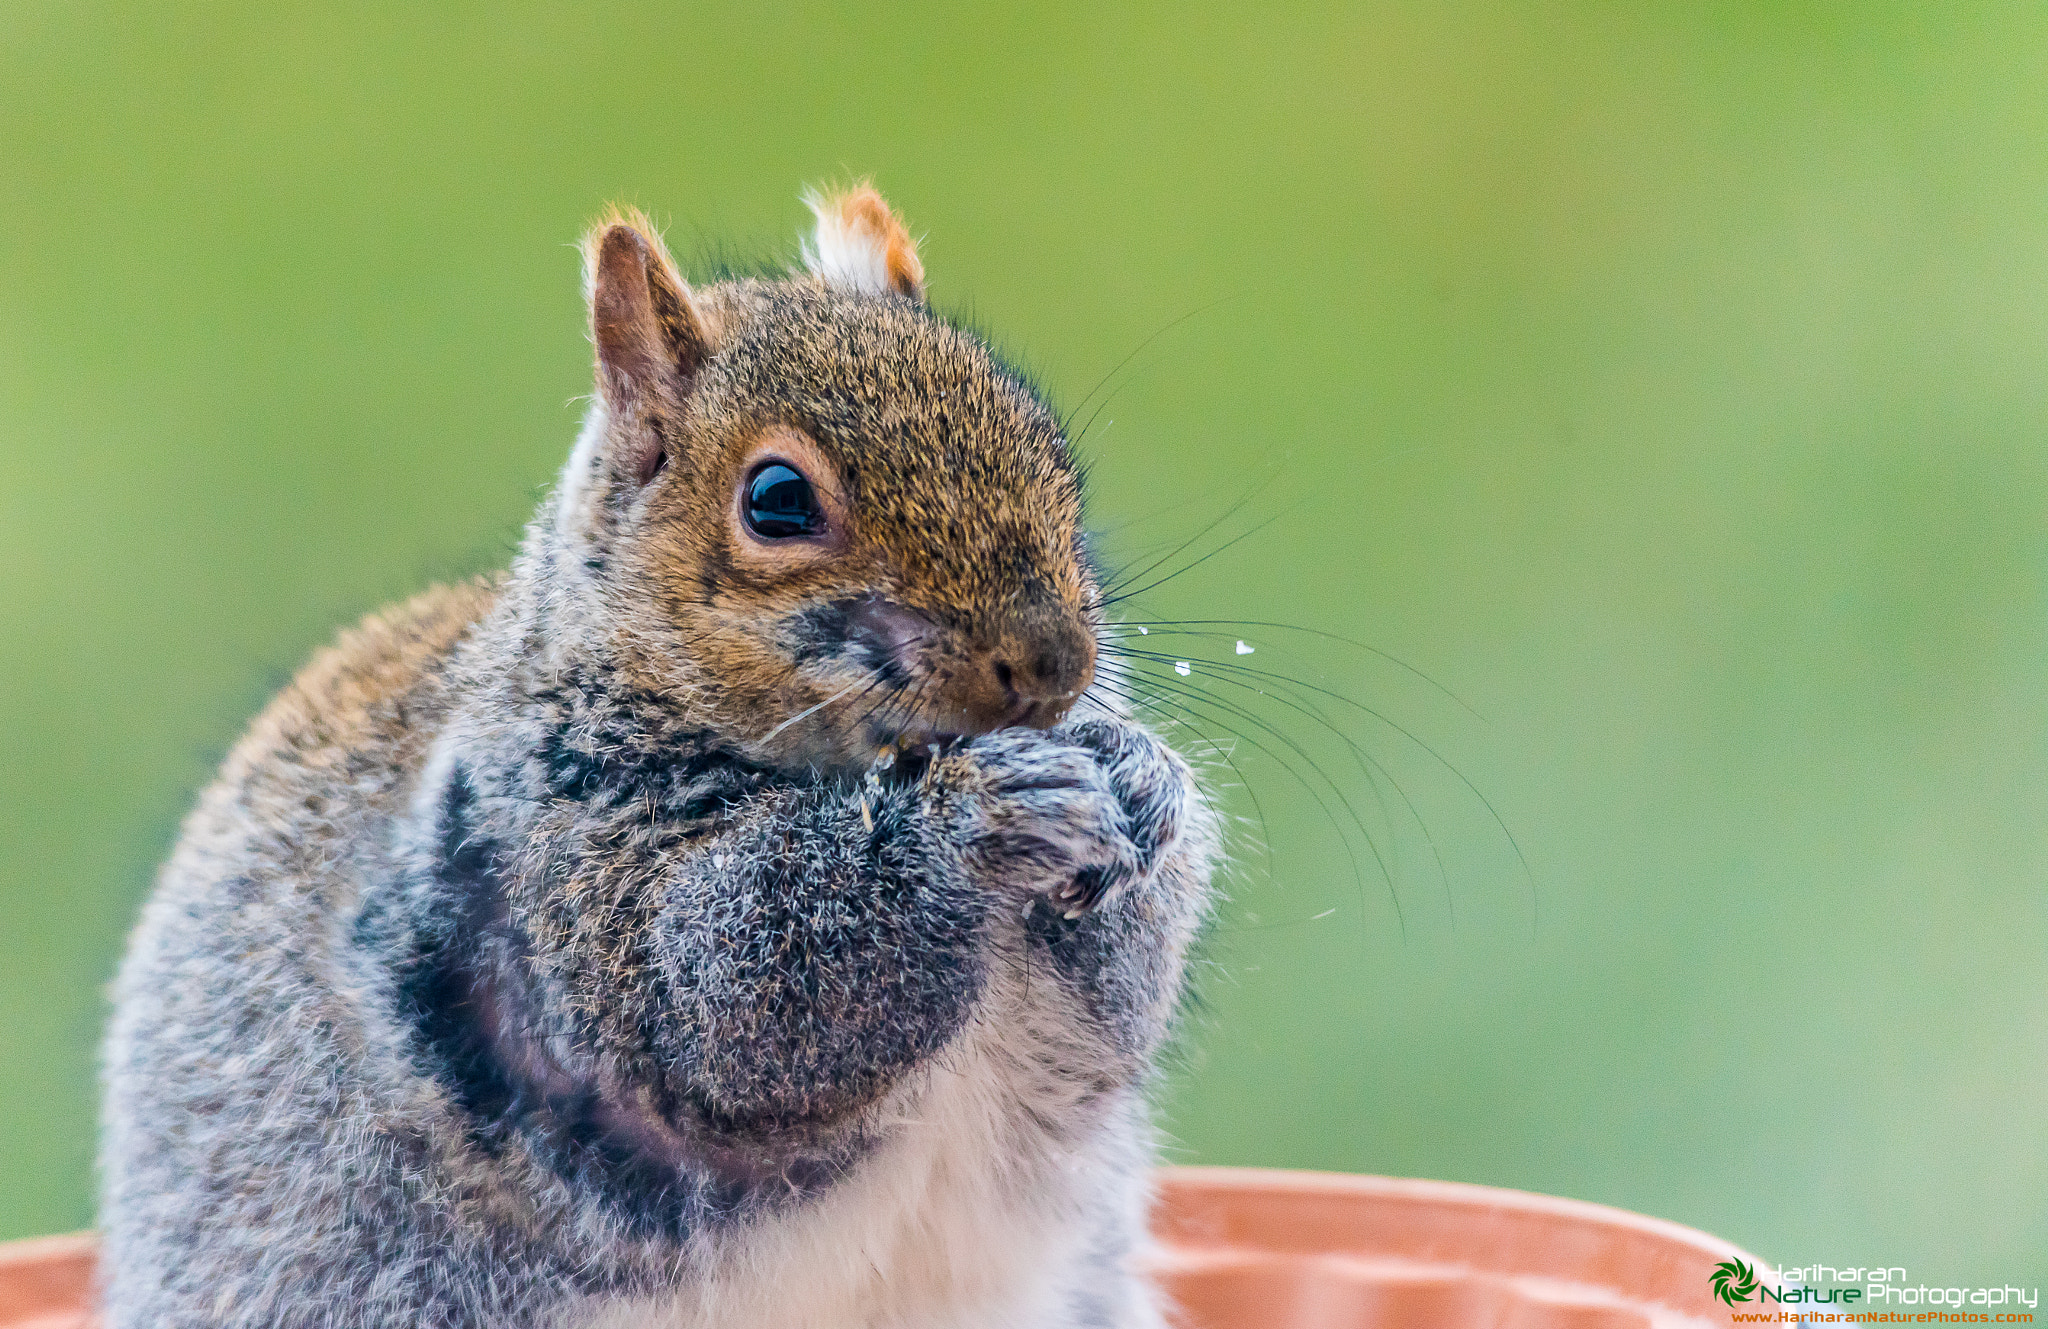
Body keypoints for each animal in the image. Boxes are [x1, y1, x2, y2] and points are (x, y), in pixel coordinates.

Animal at [98, 183, 1218, 1329]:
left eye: (1043, 442)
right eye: (777, 500)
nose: (1052, 664)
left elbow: (1116, 1013)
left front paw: (1134, 772)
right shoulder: (559, 875)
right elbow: (725, 1002)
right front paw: (972, 820)